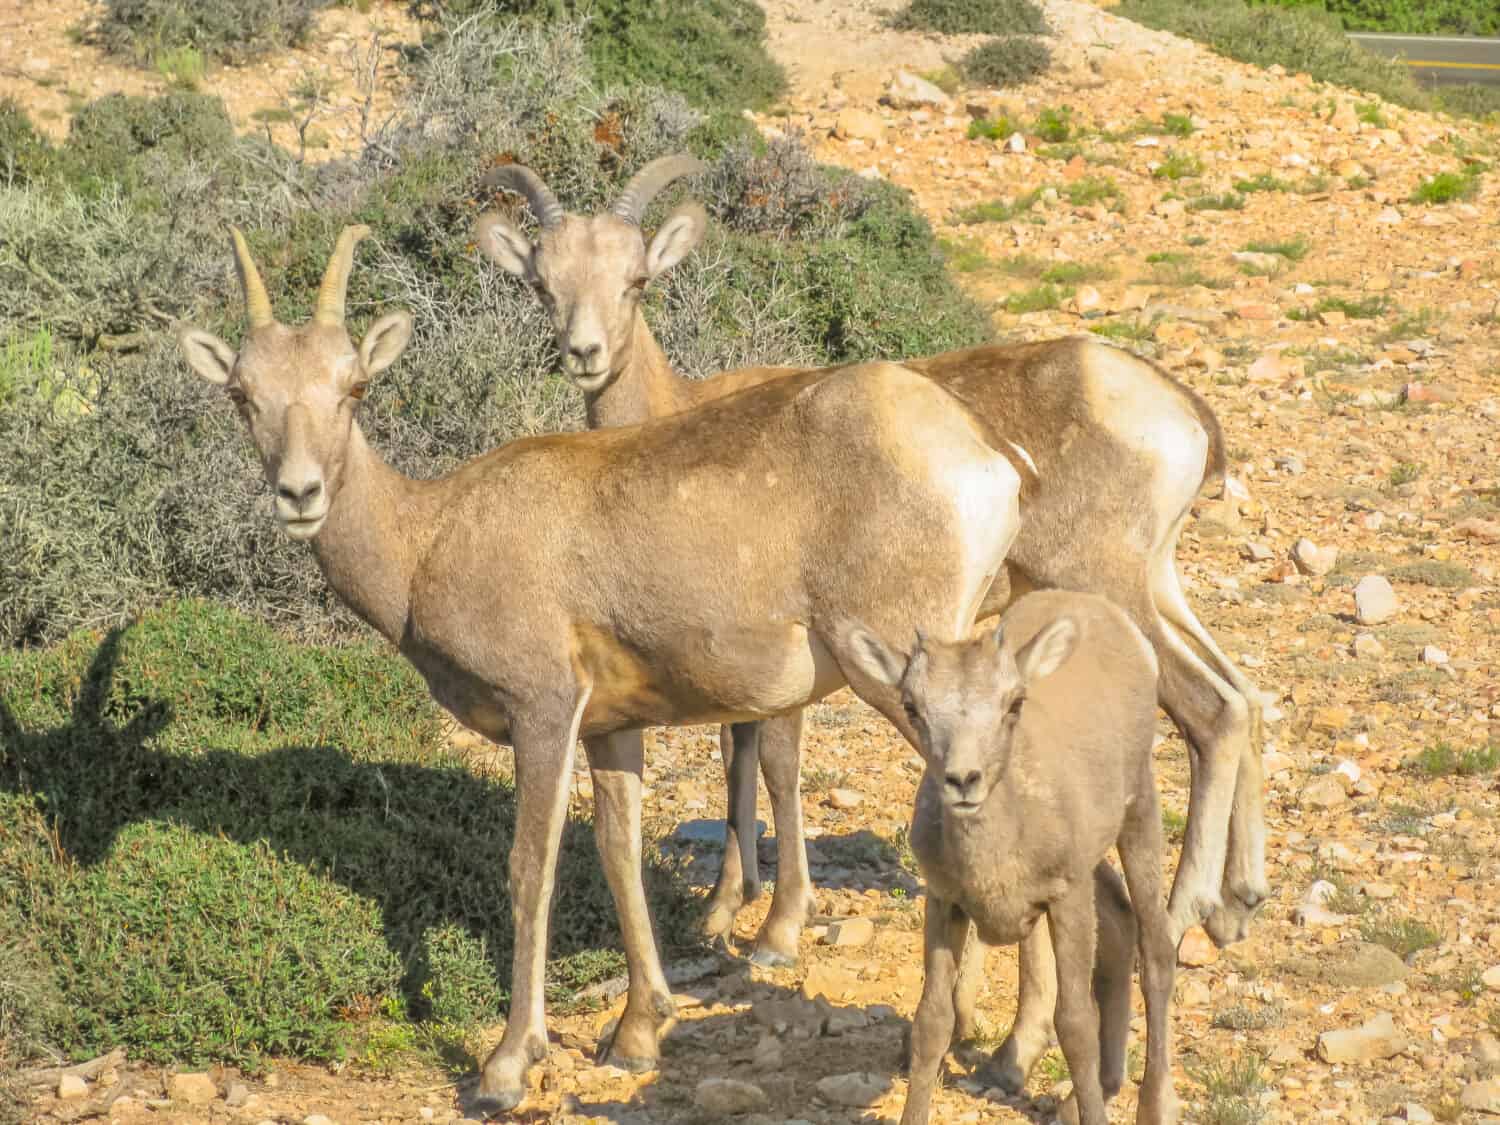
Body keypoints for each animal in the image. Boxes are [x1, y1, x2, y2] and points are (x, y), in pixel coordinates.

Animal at [172, 225, 1020, 1116]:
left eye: (355, 384)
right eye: (243, 393)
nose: (299, 494)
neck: (428, 536)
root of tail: (984, 462)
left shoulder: (543, 709)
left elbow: (530, 867)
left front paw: (507, 1065)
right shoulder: (614, 728)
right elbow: (619, 854)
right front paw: (638, 1031)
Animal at [477, 156, 1266, 1092]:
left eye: (636, 280)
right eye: (544, 284)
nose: (584, 355)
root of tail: (1178, 412)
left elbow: (771, 761)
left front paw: (774, 933)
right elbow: (737, 757)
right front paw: (724, 912)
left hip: (1102, 590)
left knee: (1209, 711)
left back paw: (1166, 928)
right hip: (1157, 587)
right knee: (1244, 694)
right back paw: (1236, 906)